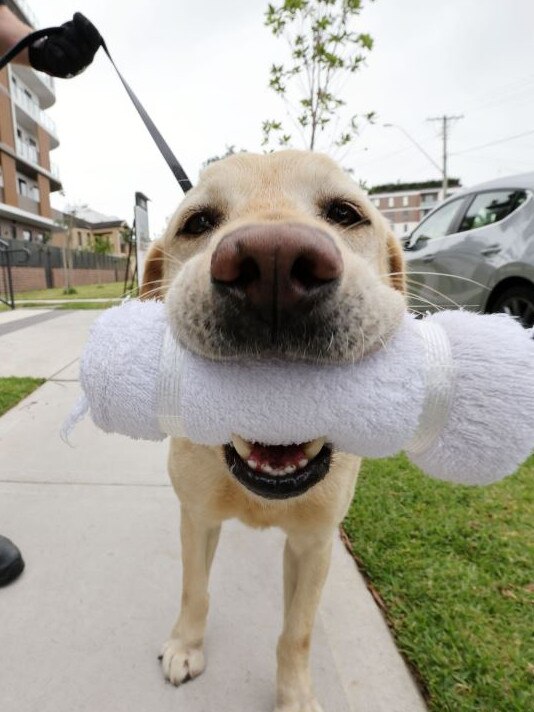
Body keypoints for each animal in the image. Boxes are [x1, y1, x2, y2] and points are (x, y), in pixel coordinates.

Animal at [142, 150, 406, 712]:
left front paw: (295, 695)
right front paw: (186, 646)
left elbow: (298, 632)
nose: (275, 265)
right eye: (197, 222)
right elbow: (195, 589)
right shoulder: (197, 517)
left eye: (346, 213)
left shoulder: (315, 542)